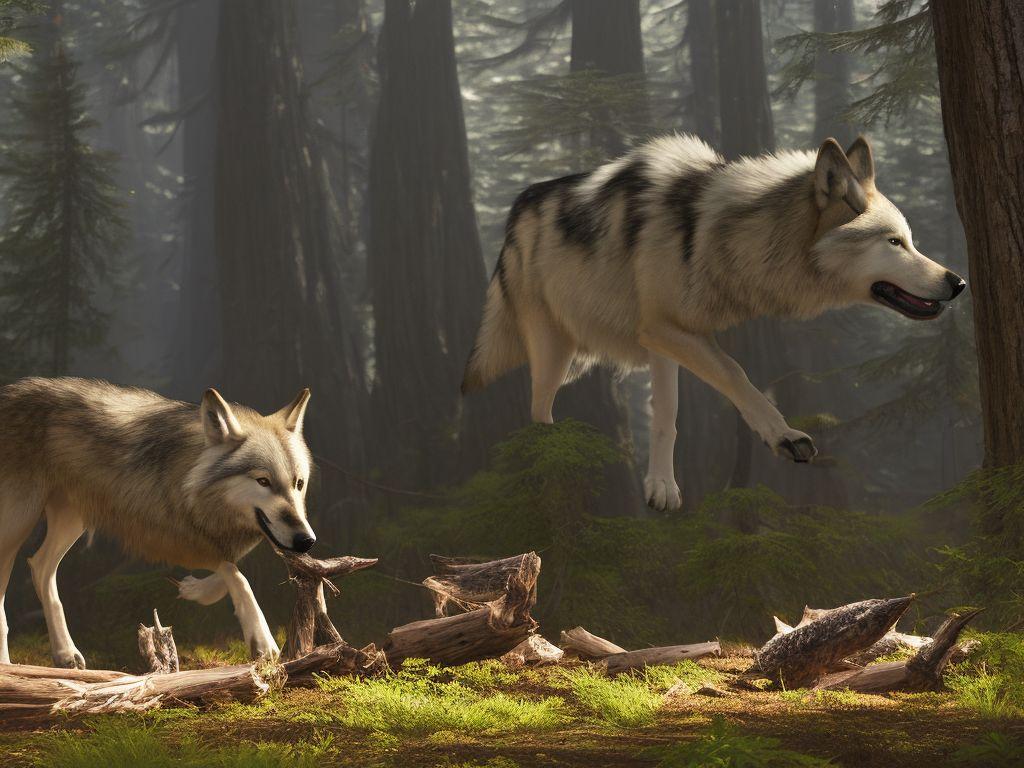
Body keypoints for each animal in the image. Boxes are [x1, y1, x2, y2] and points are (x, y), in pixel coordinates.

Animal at [0, 377, 317, 668]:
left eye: (298, 484)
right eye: (263, 481)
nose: (307, 540)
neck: (187, 477)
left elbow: (232, 565)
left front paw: (193, 589)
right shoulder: (163, 532)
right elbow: (236, 573)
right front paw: (263, 641)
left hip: (73, 519)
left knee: (40, 566)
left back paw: (66, 654)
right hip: (17, 525)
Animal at [462, 135, 966, 511]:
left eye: (911, 240)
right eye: (894, 242)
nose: (958, 281)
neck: (717, 237)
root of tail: (517, 207)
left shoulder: (663, 337)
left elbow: (667, 416)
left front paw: (661, 489)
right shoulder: (668, 332)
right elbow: (736, 374)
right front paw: (783, 436)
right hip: (553, 352)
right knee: (536, 412)